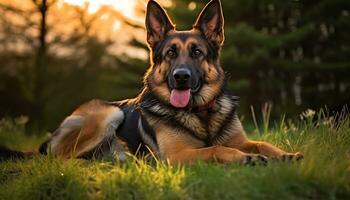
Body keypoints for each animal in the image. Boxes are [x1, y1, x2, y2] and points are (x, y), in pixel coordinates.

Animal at [3, 0, 304, 165]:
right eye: (170, 53)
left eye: (197, 52)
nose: (181, 77)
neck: (201, 113)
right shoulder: (177, 155)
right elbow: (216, 148)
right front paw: (244, 158)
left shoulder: (240, 139)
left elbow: (262, 144)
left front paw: (285, 154)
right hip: (109, 112)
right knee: (64, 159)